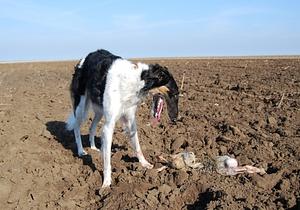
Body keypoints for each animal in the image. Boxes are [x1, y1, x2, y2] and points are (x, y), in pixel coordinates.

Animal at [66, 49, 178, 187]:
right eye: (175, 94)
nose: (175, 119)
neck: (136, 81)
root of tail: (85, 58)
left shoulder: (129, 120)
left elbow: (137, 145)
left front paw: (144, 163)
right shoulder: (109, 125)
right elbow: (107, 159)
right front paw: (106, 183)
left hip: (99, 110)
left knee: (91, 128)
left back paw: (93, 148)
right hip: (81, 107)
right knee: (76, 128)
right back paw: (81, 151)